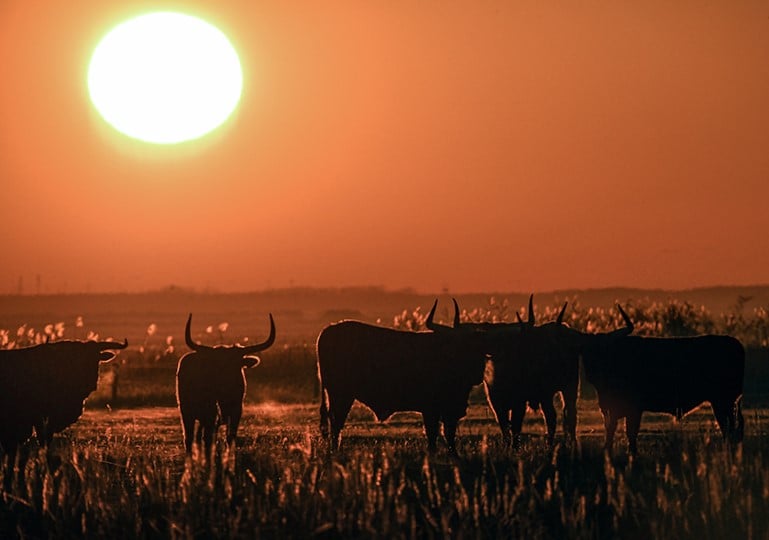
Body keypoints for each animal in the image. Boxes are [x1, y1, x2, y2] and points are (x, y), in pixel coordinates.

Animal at [177, 312, 276, 456]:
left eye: (235, 364)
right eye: (216, 365)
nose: (225, 381)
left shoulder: (236, 411)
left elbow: (230, 436)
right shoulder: (211, 413)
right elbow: (209, 438)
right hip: (186, 411)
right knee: (190, 437)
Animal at [576, 306, 744, 454]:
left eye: (604, 350)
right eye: (585, 351)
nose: (592, 372)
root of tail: (735, 343)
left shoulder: (634, 409)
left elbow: (631, 432)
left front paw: (632, 454)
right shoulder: (609, 408)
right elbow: (610, 431)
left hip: (723, 402)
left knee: (730, 430)